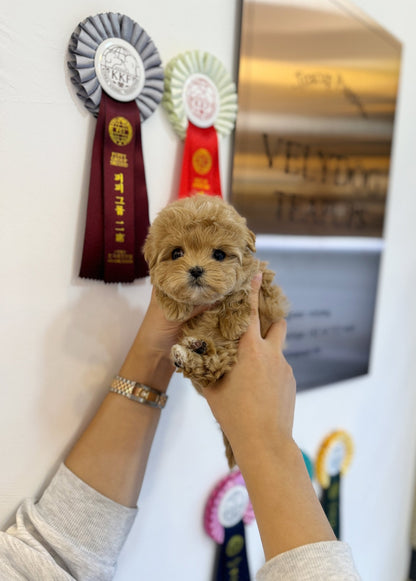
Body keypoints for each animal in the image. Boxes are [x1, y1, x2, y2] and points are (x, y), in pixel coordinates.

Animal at [145, 195, 288, 466]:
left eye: (219, 254)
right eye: (176, 253)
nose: (196, 269)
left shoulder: (262, 282)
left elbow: (239, 292)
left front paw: (233, 323)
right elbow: (162, 287)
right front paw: (174, 307)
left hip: (225, 356)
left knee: (212, 368)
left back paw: (195, 348)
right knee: (205, 369)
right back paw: (191, 349)